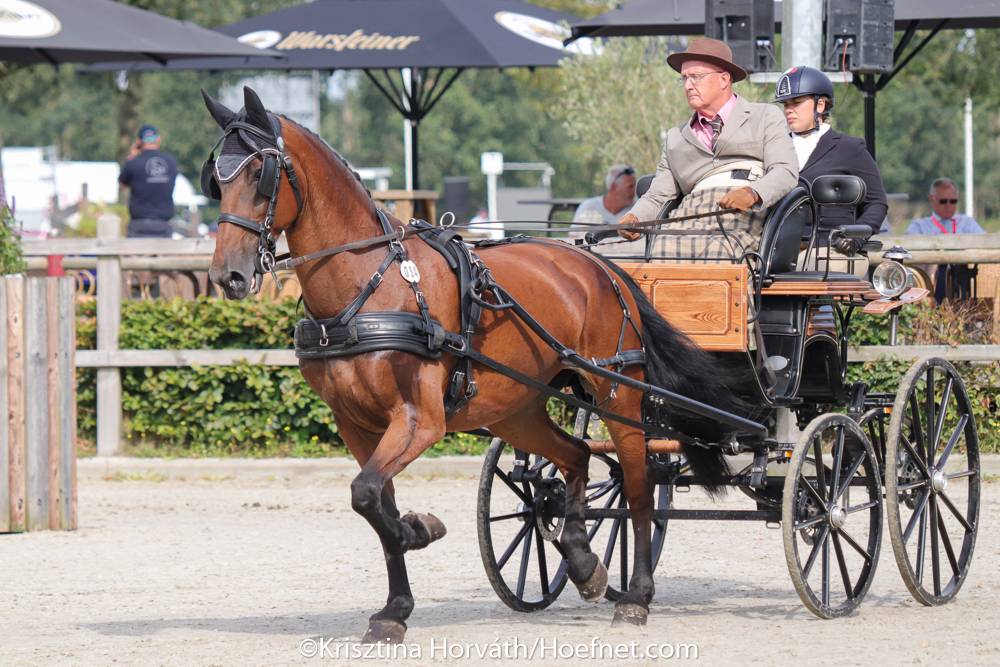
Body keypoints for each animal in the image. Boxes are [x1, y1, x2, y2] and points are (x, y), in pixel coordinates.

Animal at [203, 87, 747, 643]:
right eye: (216, 179)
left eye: (259, 172)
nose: (228, 276)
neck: (372, 284)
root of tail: (601, 266)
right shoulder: (355, 425)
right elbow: (376, 503)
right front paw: (396, 604)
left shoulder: (420, 420)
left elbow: (368, 496)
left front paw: (420, 530)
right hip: (515, 408)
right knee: (575, 457)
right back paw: (581, 562)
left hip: (618, 390)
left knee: (637, 485)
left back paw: (636, 595)